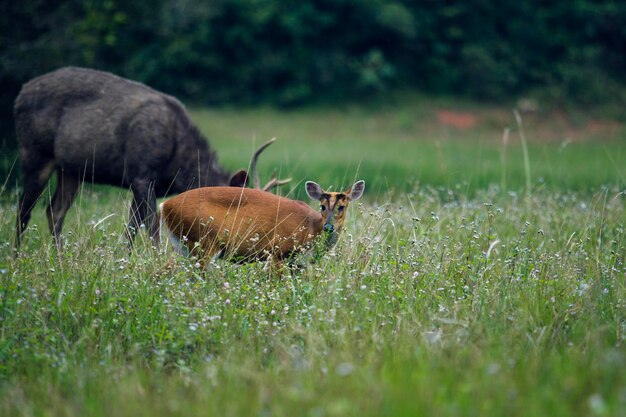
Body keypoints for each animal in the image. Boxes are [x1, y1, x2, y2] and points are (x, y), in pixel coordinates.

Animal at [13, 66, 288, 249]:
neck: (179, 165)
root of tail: (20, 94)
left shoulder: (142, 183)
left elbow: (131, 228)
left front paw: (125, 258)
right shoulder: (142, 173)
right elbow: (152, 225)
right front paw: (156, 257)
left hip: (70, 169)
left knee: (54, 210)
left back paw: (58, 256)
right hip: (35, 153)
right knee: (24, 210)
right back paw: (17, 256)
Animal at [157, 177, 366, 268]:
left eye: (342, 207)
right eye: (322, 205)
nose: (328, 227)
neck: (311, 228)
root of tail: (165, 205)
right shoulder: (277, 252)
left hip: (183, 246)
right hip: (203, 243)